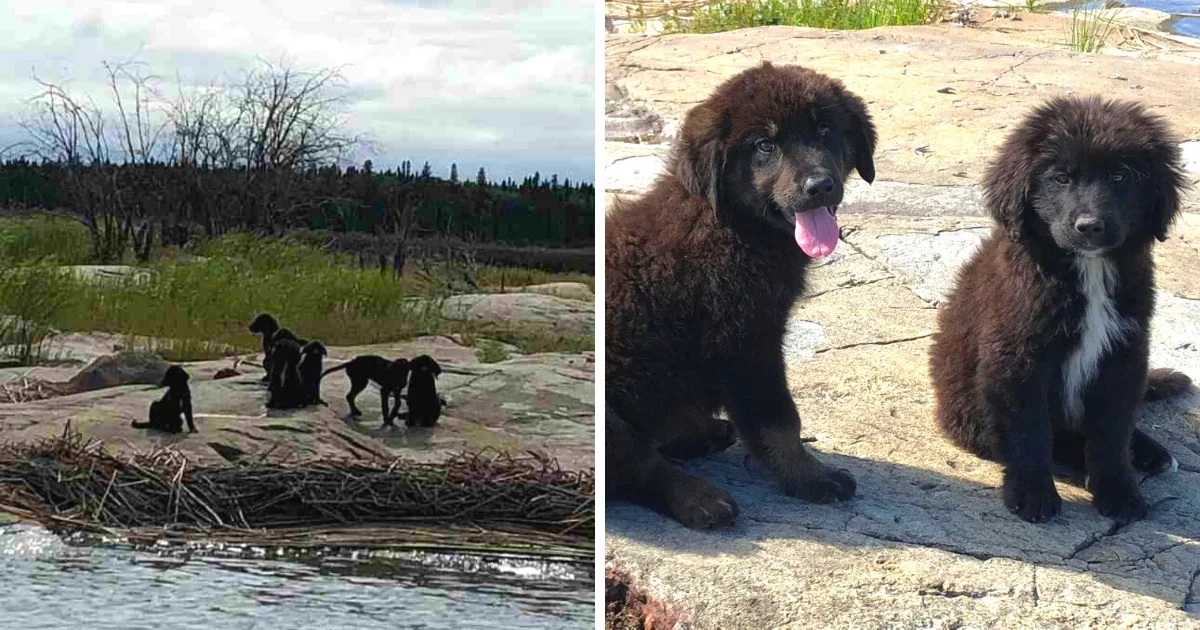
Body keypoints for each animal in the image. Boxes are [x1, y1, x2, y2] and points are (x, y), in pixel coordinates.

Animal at [609, 61, 873, 528]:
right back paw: (699, 497)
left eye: (824, 130)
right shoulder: (747, 343)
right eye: (765, 145)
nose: (820, 186)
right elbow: (780, 420)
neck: (734, 226)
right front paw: (810, 477)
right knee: (634, 467)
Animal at [926, 94, 1190, 525]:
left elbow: (1112, 432)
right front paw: (1033, 495)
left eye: (1120, 177)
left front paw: (1118, 492)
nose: (1090, 226)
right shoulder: (1018, 356)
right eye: (1061, 178)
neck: (1088, 270)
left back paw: (1150, 453)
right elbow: (1032, 432)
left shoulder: (1124, 354)